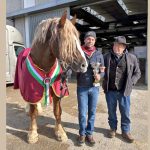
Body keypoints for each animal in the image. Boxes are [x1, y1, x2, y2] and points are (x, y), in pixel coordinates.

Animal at [13, 11, 88, 144]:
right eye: (66, 40)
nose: (84, 65)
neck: (45, 67)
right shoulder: (31, 91)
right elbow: (33, 113)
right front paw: (32, 134)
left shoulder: (57, 92)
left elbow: (57, 112)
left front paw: (60, 132)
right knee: (29, 102)